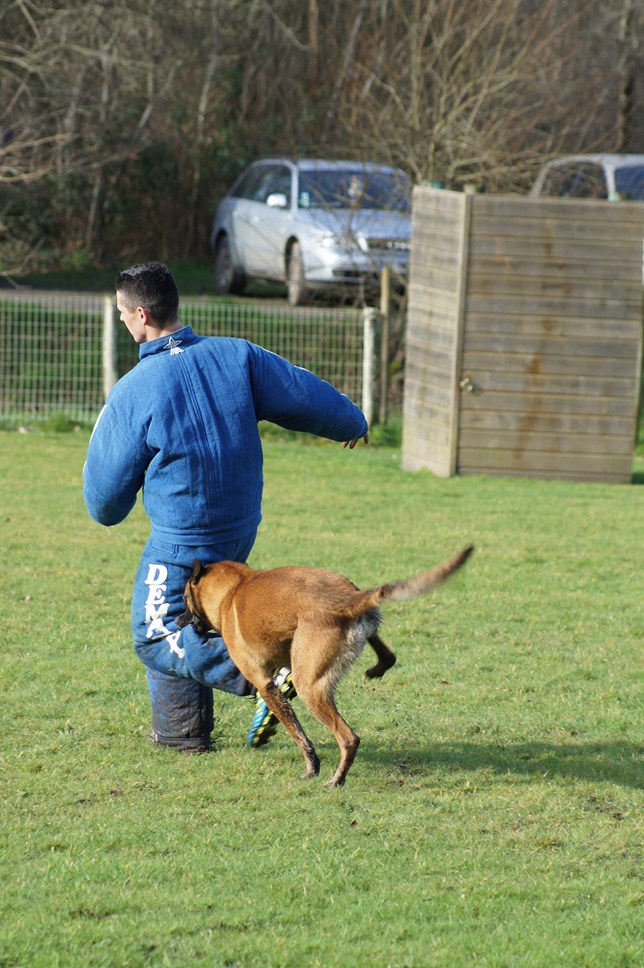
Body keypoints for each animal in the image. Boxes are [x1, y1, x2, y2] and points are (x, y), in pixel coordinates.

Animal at [176, 544, 472, 788]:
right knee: (388, 656)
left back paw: (336, 780)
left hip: (310, 688)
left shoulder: (264, 683)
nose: (178, 622)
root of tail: (347, 598)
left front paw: (311, 769)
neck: (235, 589)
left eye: (185, 599)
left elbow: (300, 736)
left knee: (349, 738)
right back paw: (378, 668)